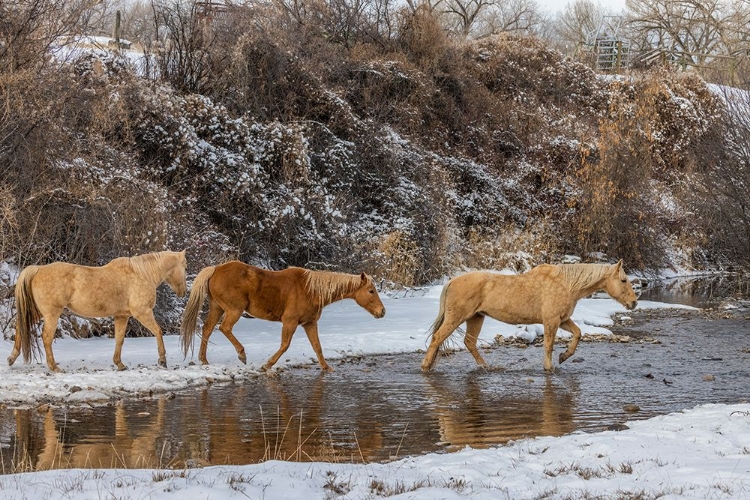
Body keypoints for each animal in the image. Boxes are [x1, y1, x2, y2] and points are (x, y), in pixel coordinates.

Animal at [7, 250, 188, 372]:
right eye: (185, 267)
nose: (183, 292)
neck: (142, 274)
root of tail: (38, 269)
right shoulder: (142, 313)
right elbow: (158, 331)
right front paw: (162, 360)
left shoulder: (121, 316)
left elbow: (119, 339)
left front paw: (119, 364)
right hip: (52, 314)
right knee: (46, 338)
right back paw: (54, 367)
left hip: (37, 312)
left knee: (20, 328)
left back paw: (11, 358)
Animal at [181, 262, 388, 372]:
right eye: (371, 291)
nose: (382, 312)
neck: (310, 290)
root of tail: (215, 269)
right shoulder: (290, 322)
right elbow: (285, 345)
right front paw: (267, 365)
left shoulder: (309, 323)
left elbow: (318, 347)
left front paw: (326, 368)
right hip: (234, 310)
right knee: (224, 328)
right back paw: (241, 354)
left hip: (217, 308)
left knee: (207, 329)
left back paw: (204, 360)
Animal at [420, 262, 636, 372]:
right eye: (623, 280)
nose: (634, 303)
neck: (566, 284)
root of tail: (451, 282)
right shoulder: (551, 321)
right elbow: (548, 345)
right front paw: (549, 367)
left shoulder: (562, 320)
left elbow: (578, 333)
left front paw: (564, 357)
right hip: (457, 318)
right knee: (438, 338)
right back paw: (425, 367)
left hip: (476, 317)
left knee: (469, 343)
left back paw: (486, 366)